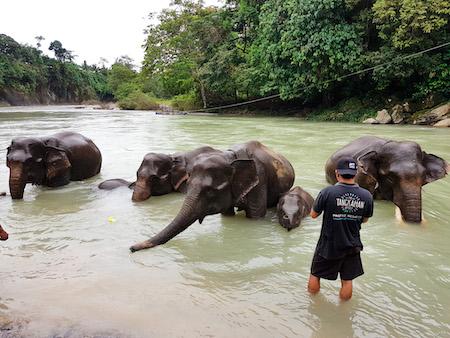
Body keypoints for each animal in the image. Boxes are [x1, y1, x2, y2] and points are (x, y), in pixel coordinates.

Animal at [130, 140, 296, 251]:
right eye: (188, 183)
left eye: (210, 191)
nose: (131, 248)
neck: (230, 157)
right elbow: (227, 215)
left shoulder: (260, 180)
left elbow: (255, 217)